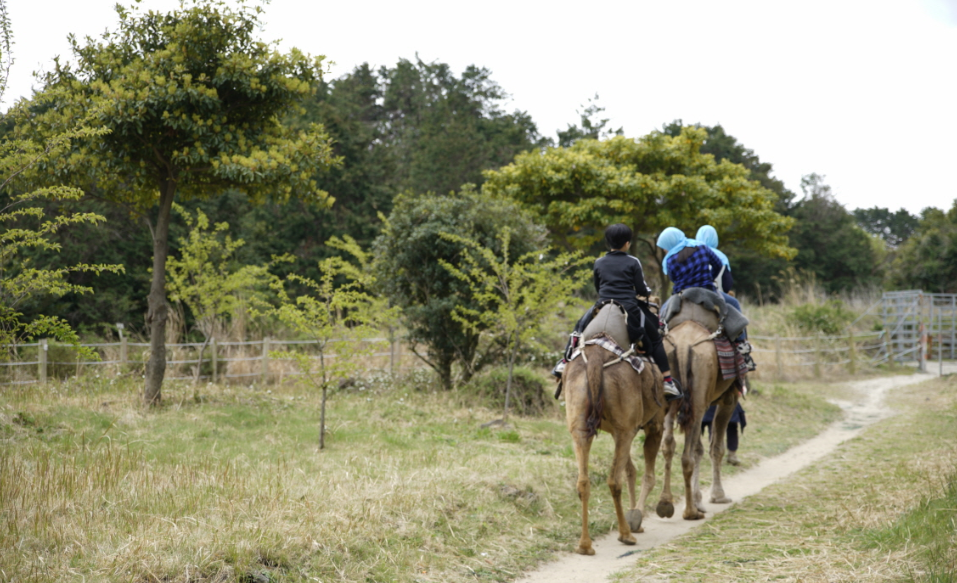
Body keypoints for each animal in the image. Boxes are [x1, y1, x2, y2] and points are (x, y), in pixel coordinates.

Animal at [560, 340, 664, 556]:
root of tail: (596, 359)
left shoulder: (619, 430)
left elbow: (631, 469)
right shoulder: (655, 423)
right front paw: (639, 517)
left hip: (579, 423)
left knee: (583, 481)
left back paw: (584, 545)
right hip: (627, 427)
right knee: (614, 480)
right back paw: (625, 534)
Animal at [656, 304, 740, 524]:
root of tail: (684, 345)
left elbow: (699, 447)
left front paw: (699, 499)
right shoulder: (729, 399)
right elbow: (715, 447)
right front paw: (717, 496)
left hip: (671, 397)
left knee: (668, 445)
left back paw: (665, 504)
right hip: (699, 401)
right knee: (687, 456)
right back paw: (690, 512)